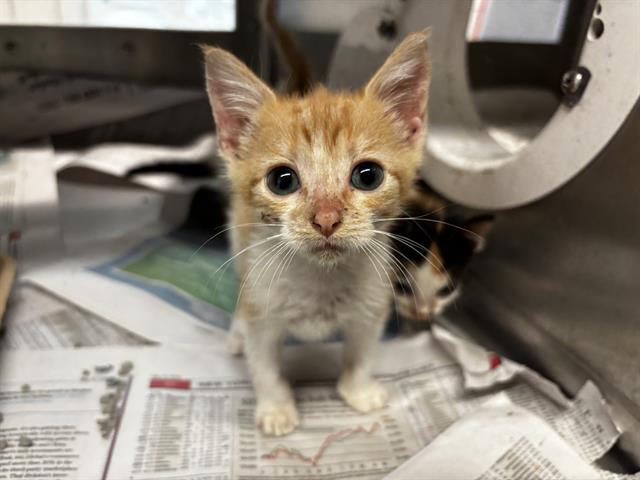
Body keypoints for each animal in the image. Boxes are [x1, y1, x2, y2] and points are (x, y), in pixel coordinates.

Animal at [200, 30, 430, 436]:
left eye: (368, 176)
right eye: (282, 180)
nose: (326, 219)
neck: (320, 280)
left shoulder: (371, 304)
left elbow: (361, 352)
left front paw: (358, 390)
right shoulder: (263, 309)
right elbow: (264, 365)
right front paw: (276, 408)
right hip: (239, 240)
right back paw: (235, 335)